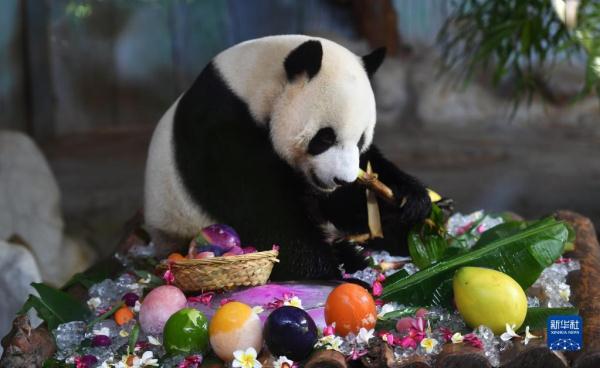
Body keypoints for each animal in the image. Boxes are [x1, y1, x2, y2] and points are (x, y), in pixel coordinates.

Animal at [145, 36, 432, 280]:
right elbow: (266, 213)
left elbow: (353, 191)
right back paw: (352, 258)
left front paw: (411, 200)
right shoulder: (221, 131)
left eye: (361, 139)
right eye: (324, 138)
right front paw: (334, 273)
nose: (341, 180)